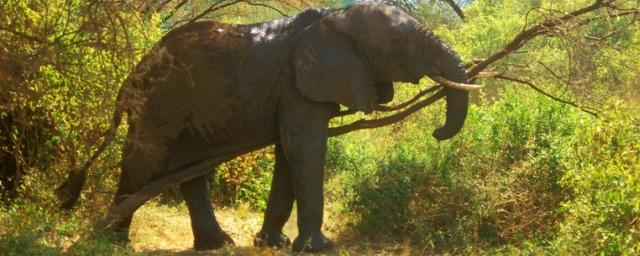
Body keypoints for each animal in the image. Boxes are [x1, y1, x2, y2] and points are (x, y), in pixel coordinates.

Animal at [58, 2, 480, 252]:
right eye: (395, 43)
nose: (437, 134)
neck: (334, 16)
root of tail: (131, 77)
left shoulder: (297, 90)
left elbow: (287, 152)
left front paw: (272, 243)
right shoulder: (298, 84)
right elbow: (304, 148)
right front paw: (318, 247)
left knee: (188, 171)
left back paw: (218, 244)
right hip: (160, 102)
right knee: (145, 162)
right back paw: (112, 242)